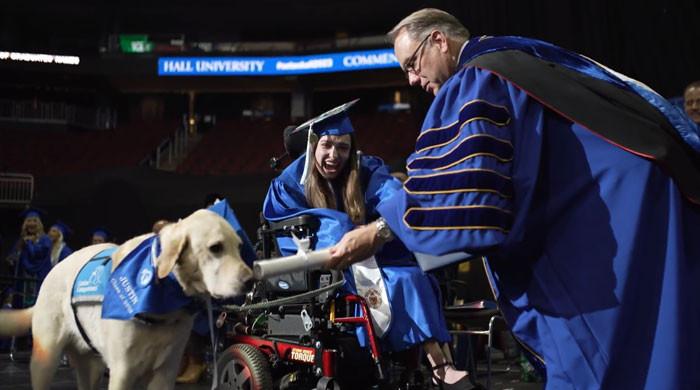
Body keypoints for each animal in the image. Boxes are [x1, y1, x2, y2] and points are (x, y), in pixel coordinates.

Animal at [0, 210, 253, 390]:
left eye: (239, 248)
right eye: (215, 248)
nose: (251, 280)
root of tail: (52, 271)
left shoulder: (166, 371)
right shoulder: (123, 371)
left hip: (90, 366)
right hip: (45, 358)